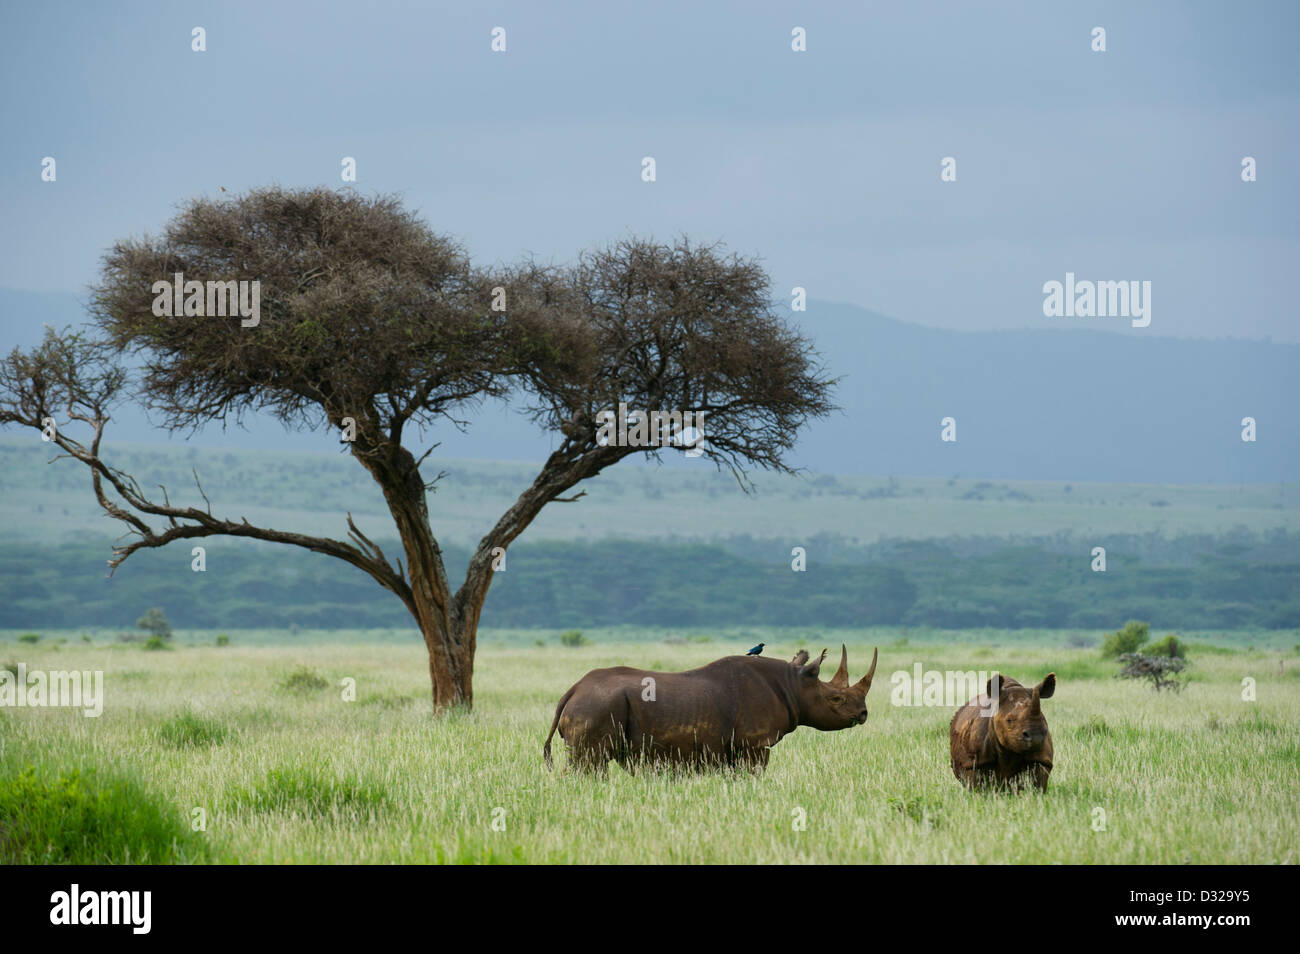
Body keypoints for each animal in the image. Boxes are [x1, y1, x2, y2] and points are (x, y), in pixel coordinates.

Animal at [543, 647, 878, 774]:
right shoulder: (755, 744)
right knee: (590, 763)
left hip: (593, 702)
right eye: (836, 699)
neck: (793, 685)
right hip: (597, 704)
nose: (863, 715)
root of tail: (572, 690)